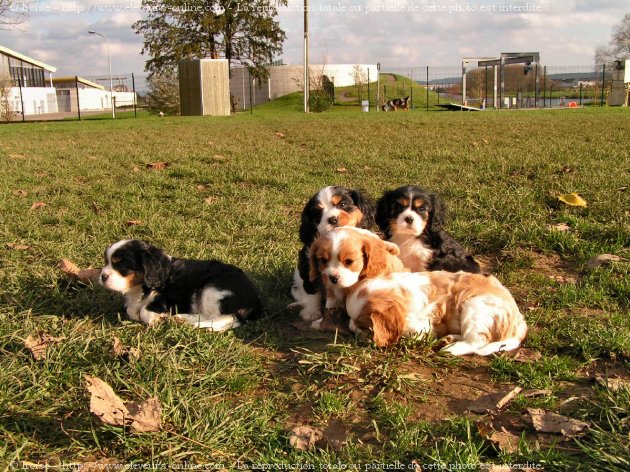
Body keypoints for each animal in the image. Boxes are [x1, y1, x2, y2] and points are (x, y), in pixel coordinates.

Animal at [99, 240, 262, 332]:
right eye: (106, 262)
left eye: (120, 265)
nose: (102, 276)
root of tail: (256, 301)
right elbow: (131, 310)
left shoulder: (166, 297)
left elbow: (145, 311)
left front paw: (156, 318)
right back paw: (182, 318)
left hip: (212, 290)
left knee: (227, 318)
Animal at [346, 270, 528, 354]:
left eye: (363, 325)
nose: (351, 327)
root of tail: (519, 321)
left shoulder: (422, 327)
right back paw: (448, 339)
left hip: (475, 308)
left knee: (476, 341)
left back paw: (451, 348)